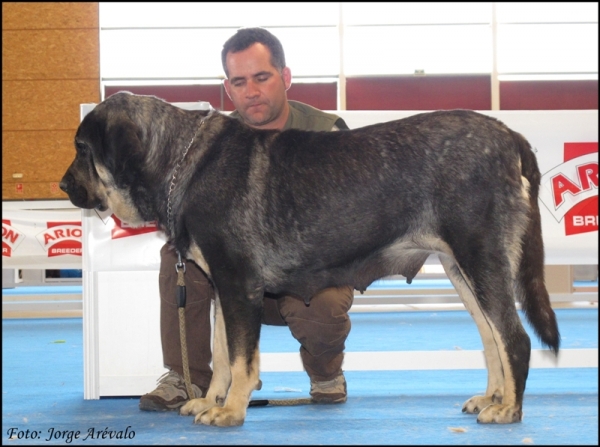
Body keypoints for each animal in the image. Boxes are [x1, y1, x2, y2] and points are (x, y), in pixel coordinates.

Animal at [59, 92, 556, 428]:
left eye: (83, 149)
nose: (63, 185)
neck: (182, 162)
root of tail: (510, 136)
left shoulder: (239, 284)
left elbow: (242, 359)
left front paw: (232, 410)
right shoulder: (222, 287)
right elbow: (221, 354)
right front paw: (211, 400)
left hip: (481, 259)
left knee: (514, 337)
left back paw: (509, 409)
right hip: (462, 270)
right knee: (492, 338)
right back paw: (491, 398)